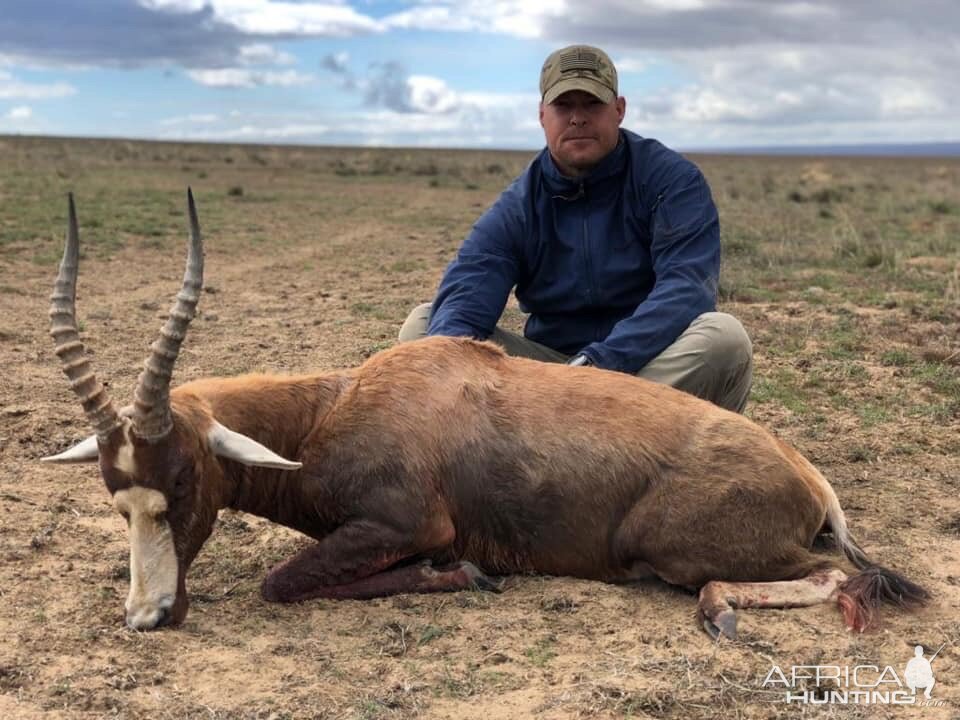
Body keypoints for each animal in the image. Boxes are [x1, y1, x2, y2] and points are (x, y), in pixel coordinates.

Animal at [43, 190, 928, 636]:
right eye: (114, 497)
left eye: (184, 481)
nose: (147, 617)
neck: (336, 407)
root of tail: (808, 476)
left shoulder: (407, 523)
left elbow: (283, 581)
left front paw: (464, 574)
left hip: (672, 545)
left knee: (836, 575)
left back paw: (717, 611)